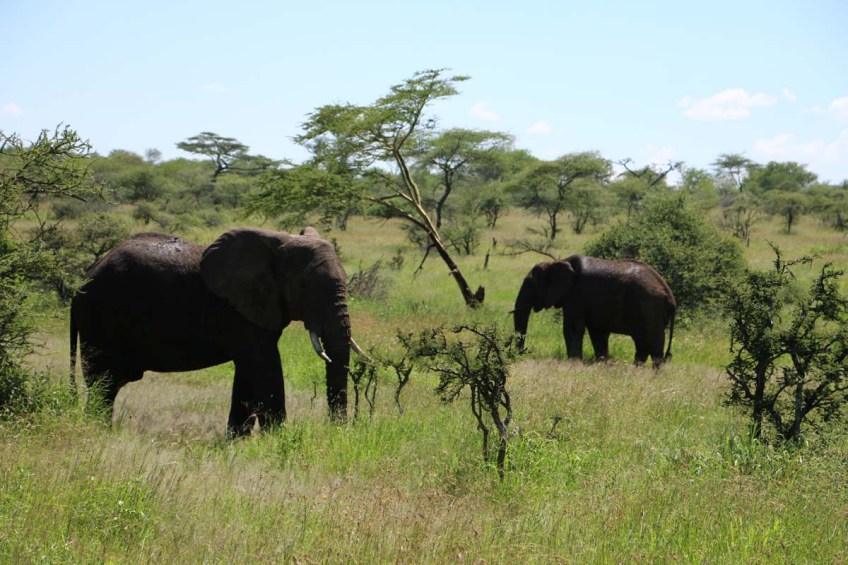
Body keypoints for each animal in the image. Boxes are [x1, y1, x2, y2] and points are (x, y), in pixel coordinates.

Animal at [70, 226, 360, 437]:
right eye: (304, 286)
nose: (338, 432)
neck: (278, 243)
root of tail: (82, 282)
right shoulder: (236, 309)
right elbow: (265, 367)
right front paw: (278, 438)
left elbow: (248, 371)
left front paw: (237, 441)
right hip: (100, 316)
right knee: (103, 382)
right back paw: (98, 432)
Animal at [513, 255, 676, 366]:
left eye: (530, 284)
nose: (521, 354)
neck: (558, 262)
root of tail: (671, 298)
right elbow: (598, 333)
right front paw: (602, 363)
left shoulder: (576, 295)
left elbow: (572, 329)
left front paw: (574, 363)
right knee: (642, 343)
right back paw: (636, 369)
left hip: (650, 309)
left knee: (653, 343)